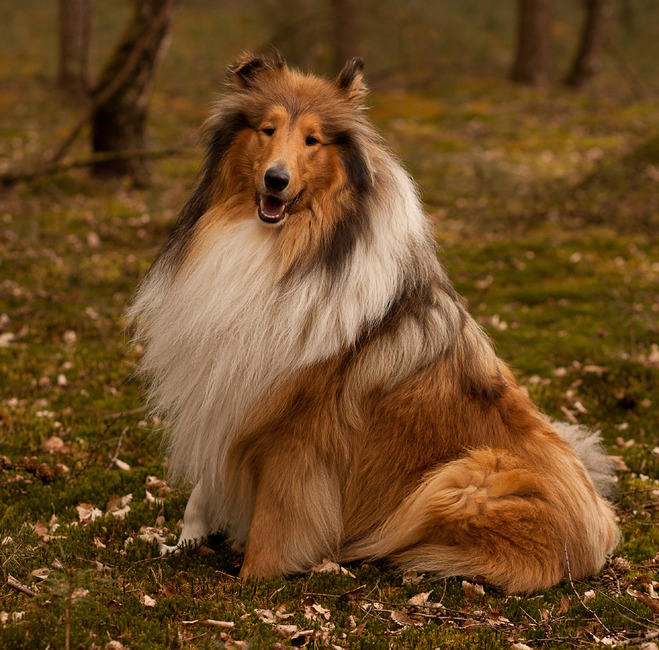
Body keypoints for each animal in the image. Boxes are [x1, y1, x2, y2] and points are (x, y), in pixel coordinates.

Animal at [131, 52, 620, 592]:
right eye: (267, 129)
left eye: (313, 139)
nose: (275, 180)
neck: (287, 247)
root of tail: (601, 532)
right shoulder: (232, 384)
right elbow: (203, 486)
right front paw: (183, 542)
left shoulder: (296, 432)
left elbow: (275, 521)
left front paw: (250, 582)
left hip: (465, 476)